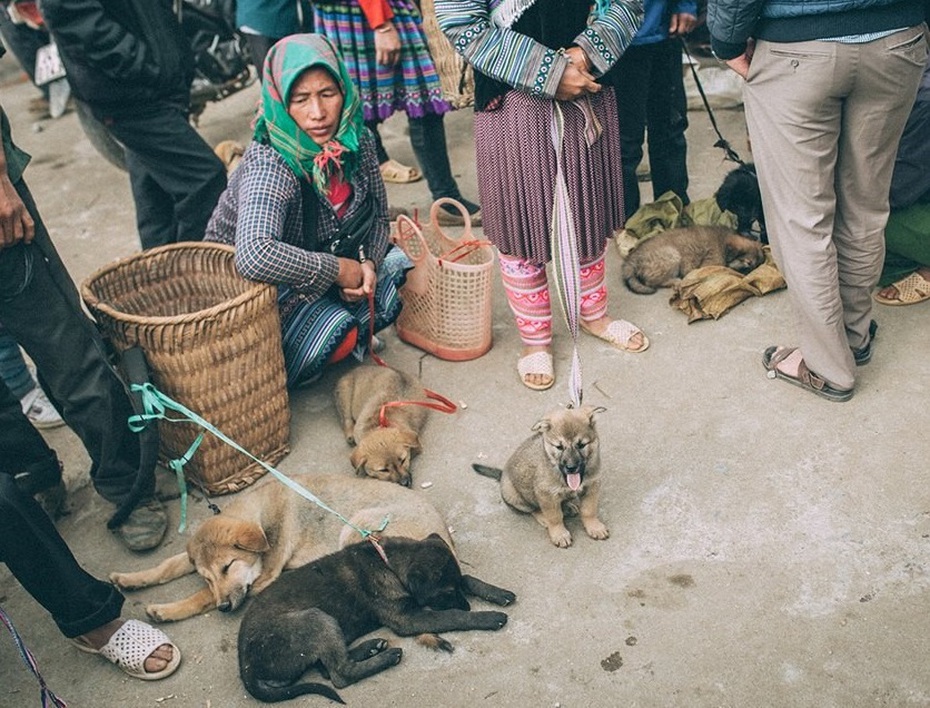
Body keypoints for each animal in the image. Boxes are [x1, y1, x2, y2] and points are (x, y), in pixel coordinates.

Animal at [109, 472, 450, 624]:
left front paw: (167, 610)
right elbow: (169, 565)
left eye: (228, 567)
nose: (224, 609)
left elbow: (202, 597)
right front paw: (130, 579)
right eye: (207, 575)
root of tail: (445, 535)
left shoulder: (260, 577)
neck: (262, 514)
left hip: (356, 527)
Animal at [236, 536, 516, 704]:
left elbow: (468, 578)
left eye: (453, 588)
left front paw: (498, 593)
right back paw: (386, 657)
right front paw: (487, 616)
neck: (387, 563)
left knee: (327, 666)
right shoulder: (408, 618)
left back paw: (371, 647)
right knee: (339, 674)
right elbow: (451, 616)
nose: (467, 604)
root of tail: (245, 664)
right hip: (316, 618)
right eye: (446, 592)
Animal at [472, 404, 608, 548]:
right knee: (532, 509)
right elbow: (555, 517)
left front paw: (594, 527)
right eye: (559, 447)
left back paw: (567, 507)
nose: (571, 468)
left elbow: (589, 510)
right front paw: (559, 534)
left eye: (581, 445)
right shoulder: (546, 494)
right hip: (513, 494)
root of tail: (502, 473)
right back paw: (544, 517)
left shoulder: (592, 486)